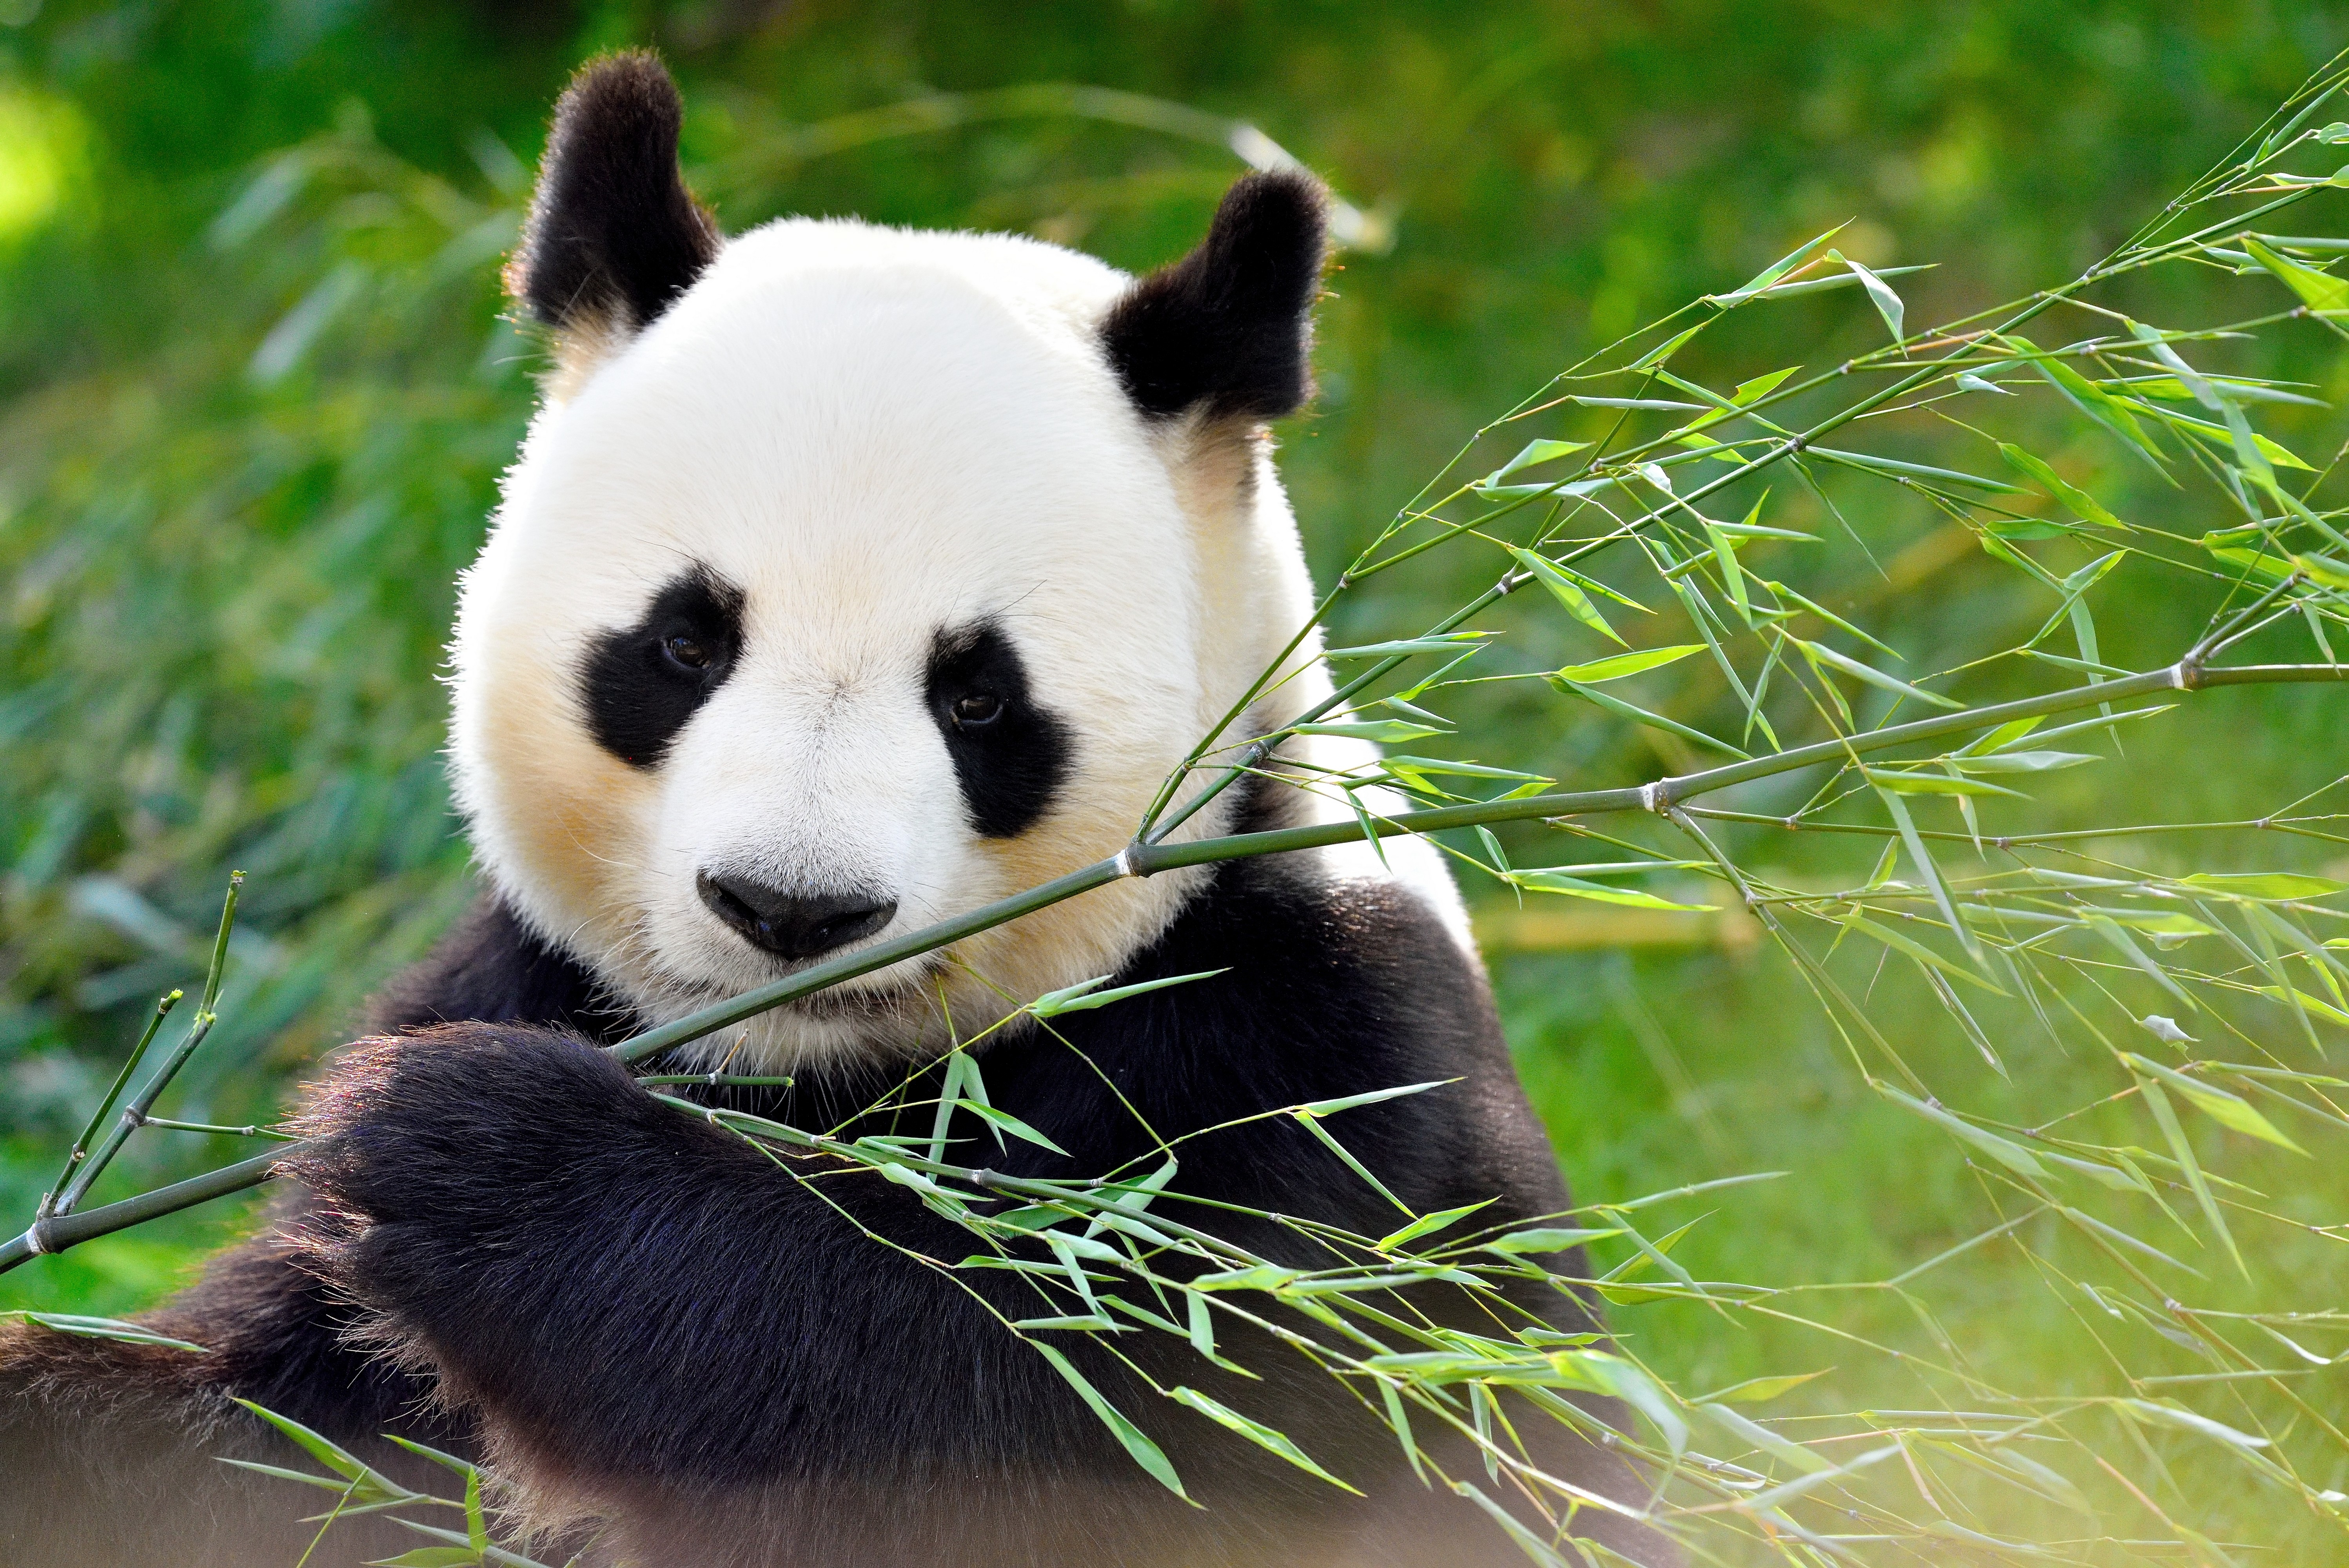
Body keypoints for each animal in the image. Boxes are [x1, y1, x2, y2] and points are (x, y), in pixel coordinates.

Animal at [1, 53, 1671, 1568]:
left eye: (978, 698)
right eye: (684, 644)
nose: (790, 910)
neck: (809, 1079)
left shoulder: (1307, 1056)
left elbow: (1075, 1419)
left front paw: (466, 1149)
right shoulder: (532, 980)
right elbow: (255, 1431)